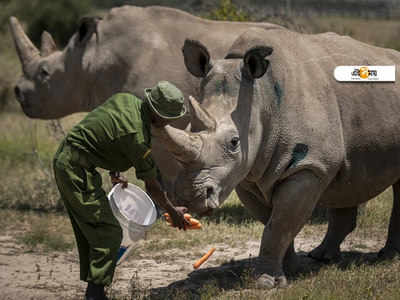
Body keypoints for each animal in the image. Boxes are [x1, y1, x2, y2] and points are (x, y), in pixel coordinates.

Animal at [152, 28, 400, 288]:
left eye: (234, 142)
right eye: (189, 129)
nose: (189, 197)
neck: (262, 98)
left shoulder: (309, 166)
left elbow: (279, 225)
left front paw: (266, 282)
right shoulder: (247, 174)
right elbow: (274, 222)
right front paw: (290, 271)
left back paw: (386, 257)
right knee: (347, 177)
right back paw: (322, 257)